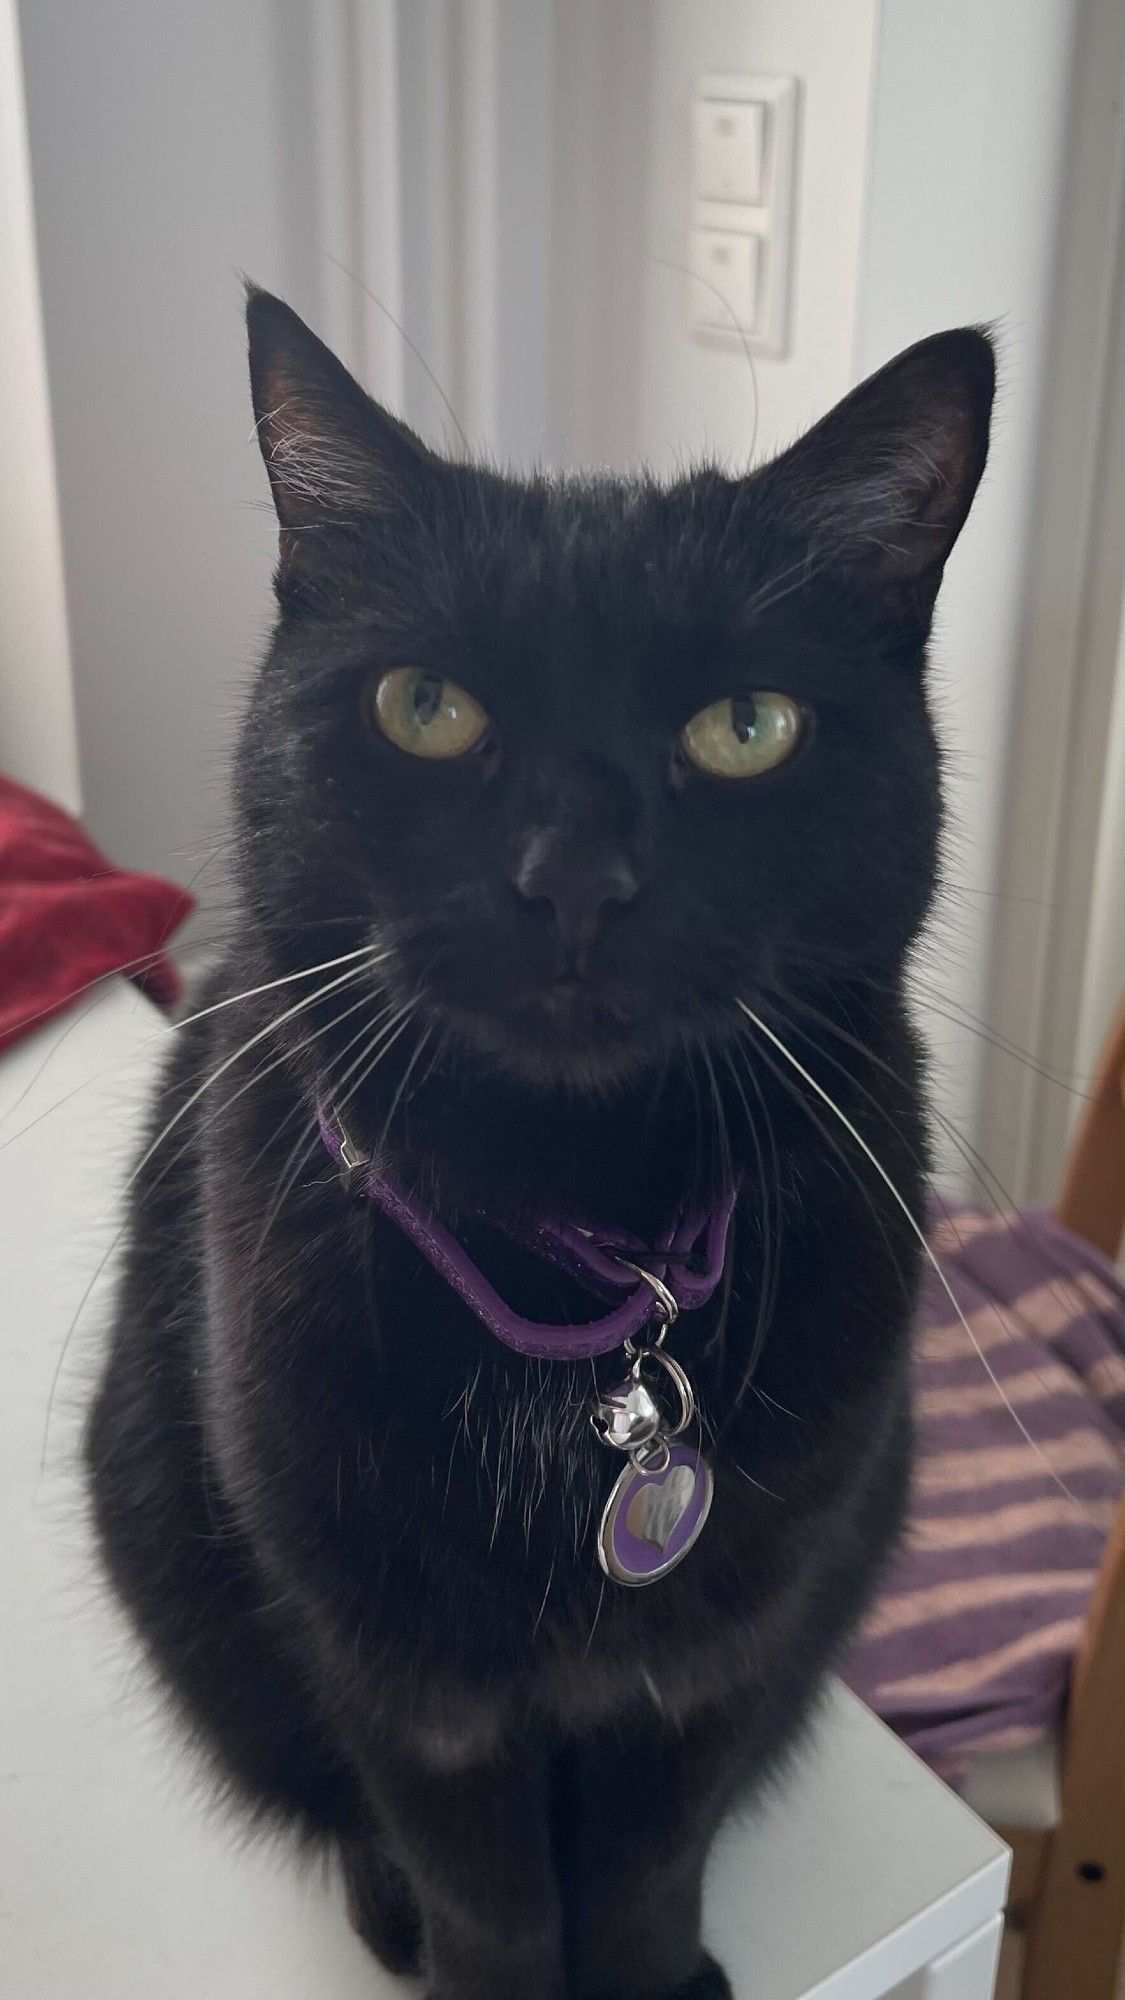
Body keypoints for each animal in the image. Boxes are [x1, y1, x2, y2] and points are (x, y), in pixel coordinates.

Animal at [85, 292, 988, 2000]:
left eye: (747, 726)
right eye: (425, 709)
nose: (573, 873)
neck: (580, 1258)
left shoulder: (721, 1645)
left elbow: (651, 1849)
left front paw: (651, 1972)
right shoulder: (395, 1669)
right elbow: (481, 1879)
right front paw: (479, 1962)